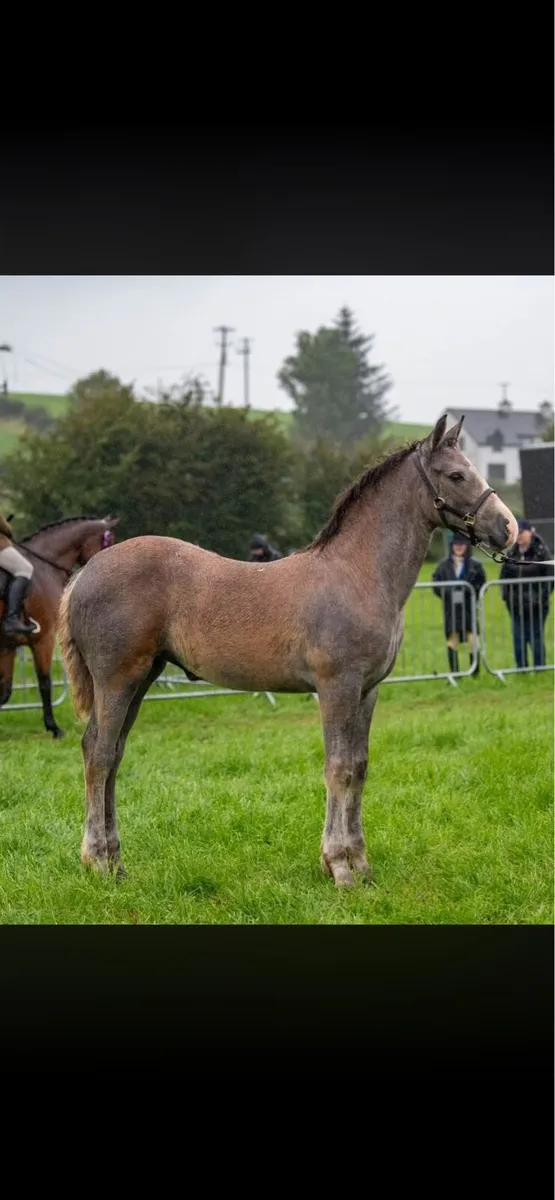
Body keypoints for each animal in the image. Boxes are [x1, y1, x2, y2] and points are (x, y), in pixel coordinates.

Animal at [0, 515, 120, 738]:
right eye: (110, 541)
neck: (43, 567)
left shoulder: (8, 646)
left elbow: (5, 691)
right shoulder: (43, 639)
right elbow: (44, 684)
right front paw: (53, 727)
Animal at [57, 415, 518, 886]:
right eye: (456, 475)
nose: (508, 529)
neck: (357, 574)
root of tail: (84, 573)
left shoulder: (368, 690)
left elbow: (359, 767)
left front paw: (361, 865)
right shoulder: (336, 687)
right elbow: (338, 768)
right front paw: (339, 867)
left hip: (142, 679)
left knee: (111, 753)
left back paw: (116, 862)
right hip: (117, 680)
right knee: (100, 754)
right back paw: (98, 861)